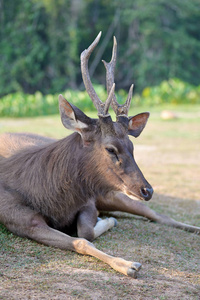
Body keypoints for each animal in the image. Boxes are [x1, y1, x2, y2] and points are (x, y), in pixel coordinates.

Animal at [0, 31, 199, 278]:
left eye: (133, 147)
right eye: (111, 149)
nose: (148, 190)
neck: (50, 196)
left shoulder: (88, 200)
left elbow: (86, 231)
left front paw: (109, 224)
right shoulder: (19, 218)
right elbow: (82, 240)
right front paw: (128, 264)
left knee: (156, 214)